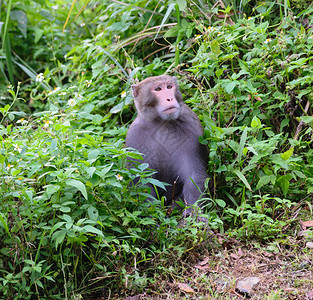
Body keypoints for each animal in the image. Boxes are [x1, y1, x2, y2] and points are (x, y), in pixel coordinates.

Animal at [123, 74, 207, 217]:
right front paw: (153, 215)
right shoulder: (134, 137)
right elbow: (142, 180)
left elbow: (194, 174)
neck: (162, 122)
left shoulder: (192, 127)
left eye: (169, 86)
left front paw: (193, 212)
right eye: (158, 89)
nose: (169, 98)